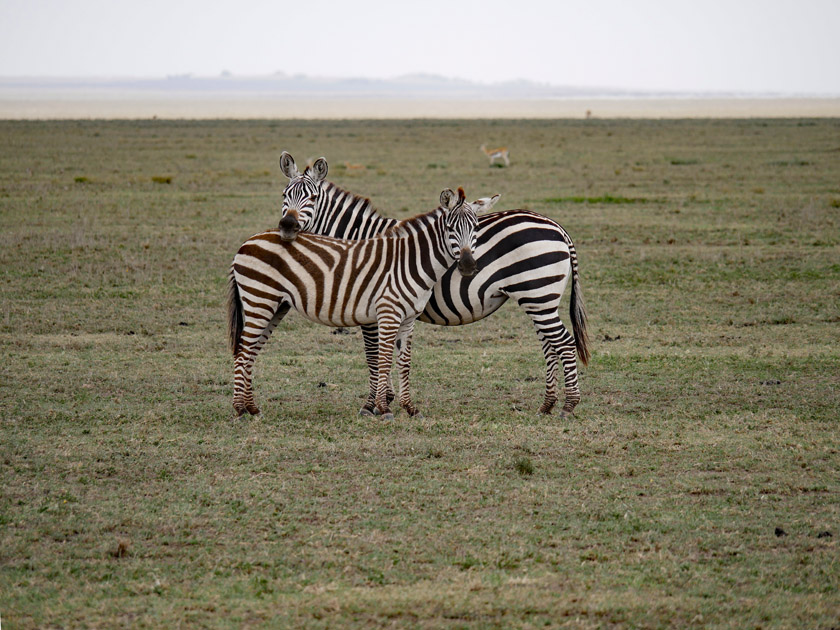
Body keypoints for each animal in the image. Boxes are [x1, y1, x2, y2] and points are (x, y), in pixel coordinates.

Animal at [228, 189, 492, 424]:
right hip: (259, 300)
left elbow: (404, 362)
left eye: (476, 228)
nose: (468, 265)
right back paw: (240, 410)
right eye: (450, 228)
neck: (412, 262)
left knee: (251, 352)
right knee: (243, 351)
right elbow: (384, 359)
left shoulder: (408, 319)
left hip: (275, 306)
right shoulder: (388, 313)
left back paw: (252, 409)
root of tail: (247, 242)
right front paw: (384, 409)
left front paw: (410, 408)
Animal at [276, 153, 592, 420]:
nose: (288, 226)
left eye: (312, 197)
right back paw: (547, 405)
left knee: (563, 343)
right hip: (538, 298)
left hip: (538, 294)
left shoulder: (370, 309)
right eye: (284, 195)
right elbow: (389, 353)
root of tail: (556, 226)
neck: (360, 240)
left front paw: (372, 405)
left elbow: (374, 355)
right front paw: (387, 400)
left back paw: (568, 406)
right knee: (550, 345)